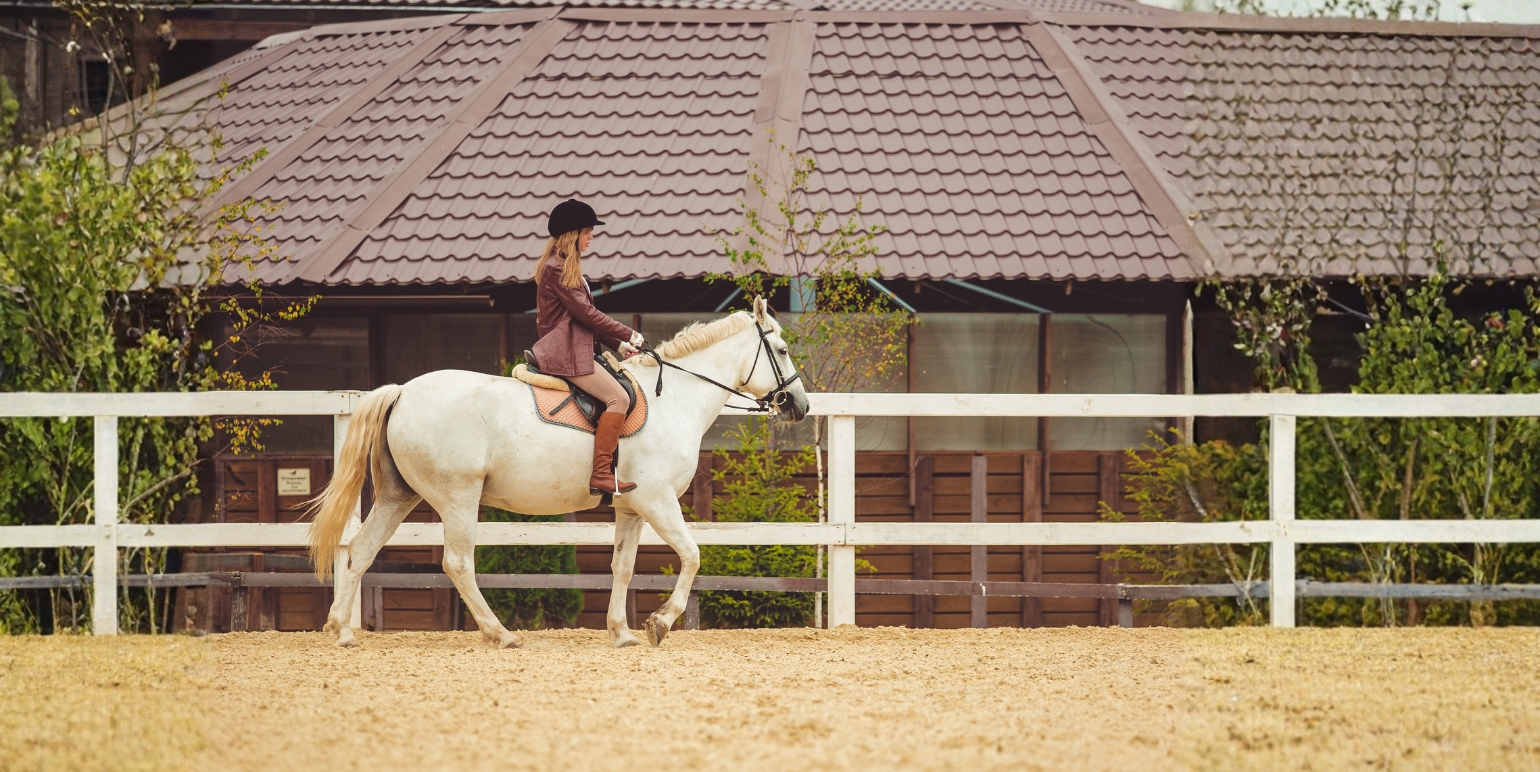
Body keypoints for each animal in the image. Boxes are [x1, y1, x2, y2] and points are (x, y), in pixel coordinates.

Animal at [306, 297, 810, 649]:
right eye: (782, 350)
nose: (800, 406)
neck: (674, 398)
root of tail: (403, 392)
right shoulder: (657, 500)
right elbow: (691, 556)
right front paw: (660, 623)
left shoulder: (631, 507)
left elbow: (623, 567)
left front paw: (621, 632)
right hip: (457, 498)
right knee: (458, 563)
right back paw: (501, 634)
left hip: (399, 496)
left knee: (362, 551)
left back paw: (343, 631)